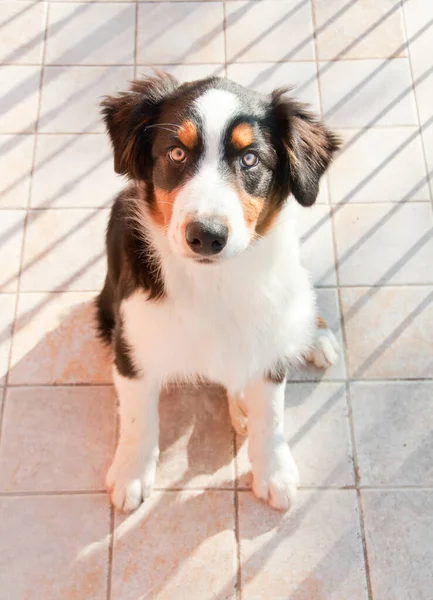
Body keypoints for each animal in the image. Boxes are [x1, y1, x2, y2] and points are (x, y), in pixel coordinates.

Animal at [95, 70, 340, 510]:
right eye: (176, 153)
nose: (206, 236)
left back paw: (315, 337)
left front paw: (275, 473)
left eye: (250, 159)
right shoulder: (131, 348)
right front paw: (130, 475)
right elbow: (139, 420)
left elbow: (271, 416)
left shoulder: (270, 339)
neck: (214, 283)